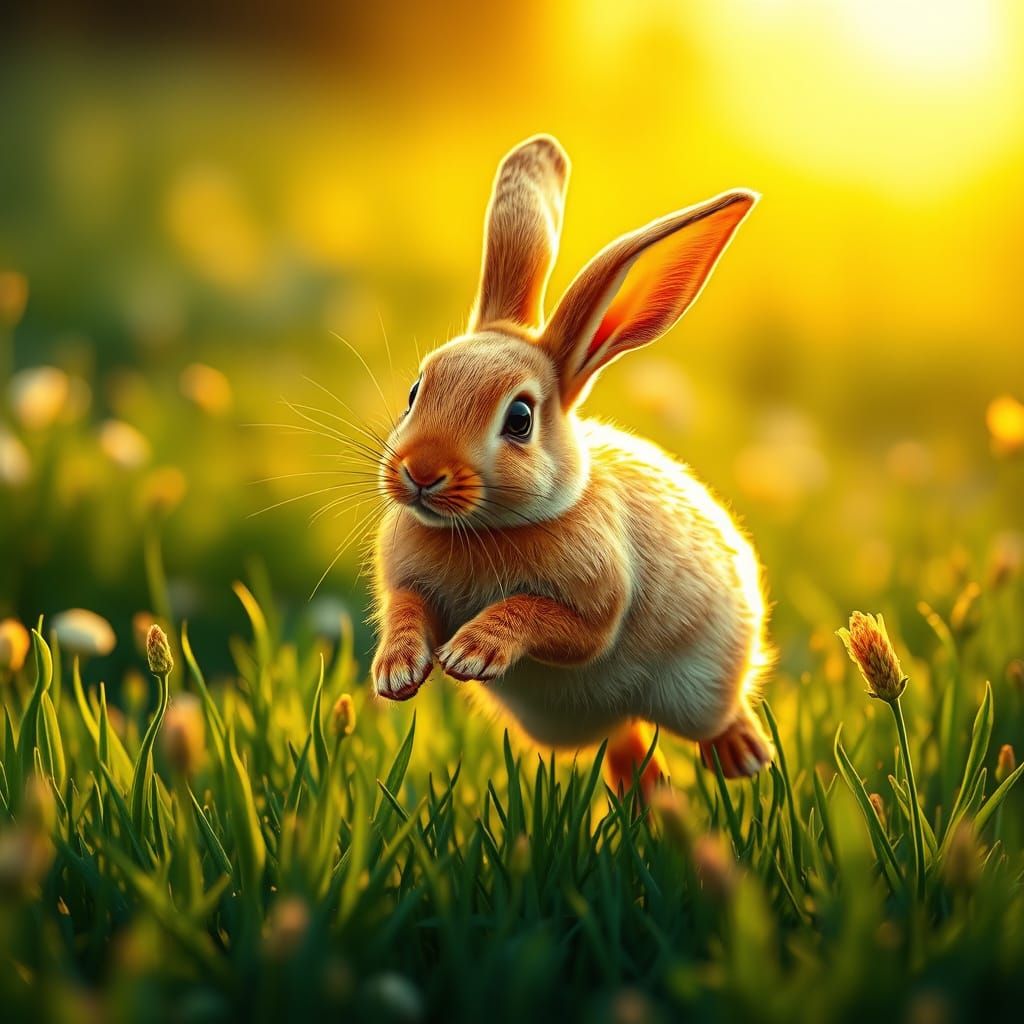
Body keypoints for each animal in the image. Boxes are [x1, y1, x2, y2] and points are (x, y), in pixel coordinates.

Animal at [370, 134, 773, 784]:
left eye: (520, 419)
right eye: (415, 391)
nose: (419, 473)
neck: (486, 528)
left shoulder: (595, 608)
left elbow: (545, 618)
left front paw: (471, 653)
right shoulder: (408, 585)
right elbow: (406, 610)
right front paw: (398, 672)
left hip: (702, 690)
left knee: (715, 715)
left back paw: (743, 757)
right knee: (626, 743)